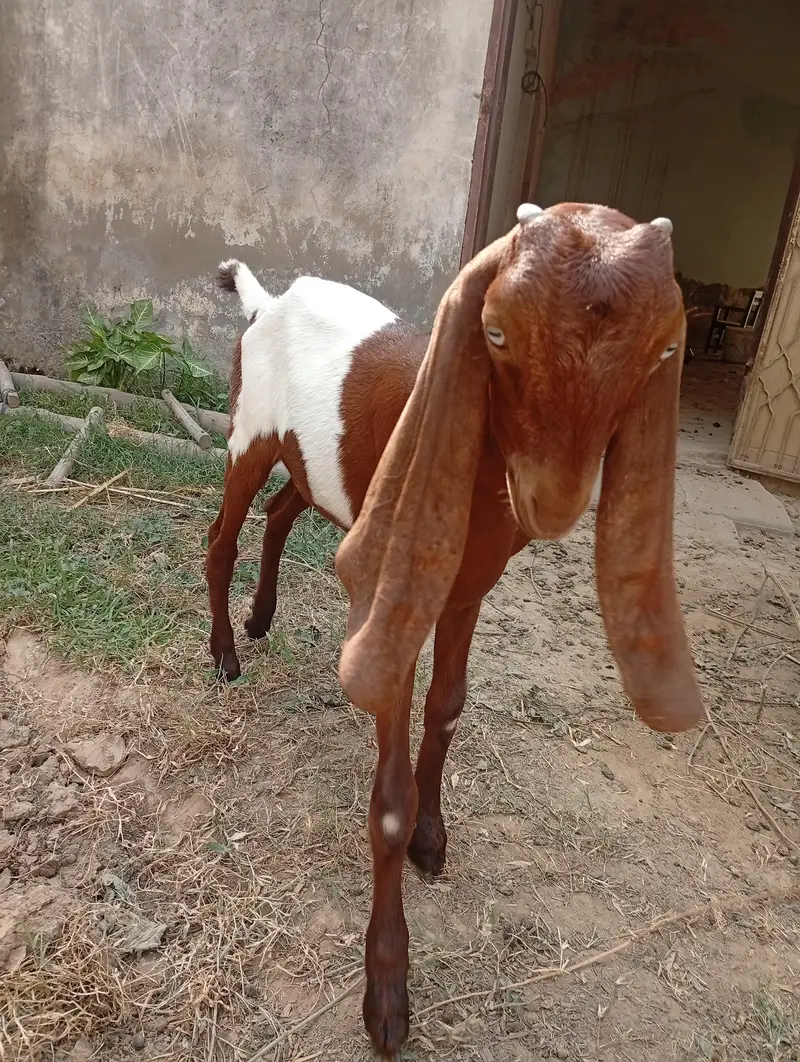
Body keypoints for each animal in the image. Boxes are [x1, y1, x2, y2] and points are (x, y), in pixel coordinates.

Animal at [208, 204, 703, 1058]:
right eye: (495, 332)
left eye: (659, 352)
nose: (551, 497)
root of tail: (266, 302)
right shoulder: (397, 595)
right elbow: (389, 795)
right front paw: (387, 994)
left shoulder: (470, 591)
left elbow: (447, 708)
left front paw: (433, 840)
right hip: (251, 431)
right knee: (225, 533)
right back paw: (224, 651)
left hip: (318, 468)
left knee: (279, 512)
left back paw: (261, 617)